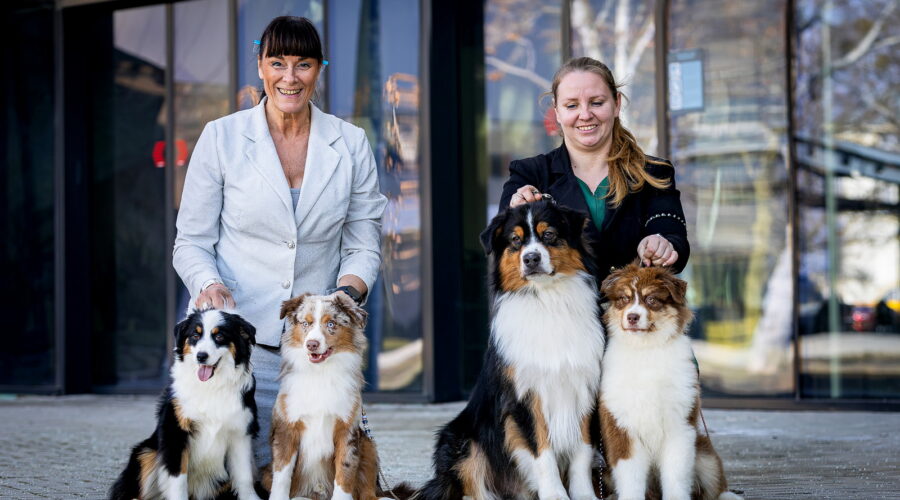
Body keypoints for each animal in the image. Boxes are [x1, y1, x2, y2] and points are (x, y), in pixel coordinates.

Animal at [109, 308, 261, 500]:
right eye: (195, 335)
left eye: (219, 337)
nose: (201, 356)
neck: (211, 386)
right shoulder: (175, 432)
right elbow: (177, 477)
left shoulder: (240, 432)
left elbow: (244, 474)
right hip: (146, 451)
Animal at [263, 292, 384, 500]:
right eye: (306, 323)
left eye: (331, 324)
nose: (312, 344)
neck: (320, 372)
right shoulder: (287, 428)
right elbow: (282, 473)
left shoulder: (346, 429)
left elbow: (345, 470)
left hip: (368, 445)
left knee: (369, 491)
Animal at [417, 200, 606, 500]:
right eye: (516, 241)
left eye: (549, 234)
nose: (531, 259)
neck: (547, 300)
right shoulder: (524, 396)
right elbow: (542, 450)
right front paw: (555, 495)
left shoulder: (584, 387)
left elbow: (583, 451)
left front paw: (584, 495)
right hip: (462, 440)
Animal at [598, 263, 741, 500]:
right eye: (624, 299)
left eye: (651, 299)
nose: (632, 317)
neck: (646, 349)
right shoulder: (621, 427)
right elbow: (631, 478)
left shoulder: (680, 423)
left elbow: (676, 475)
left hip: (705, 453)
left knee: (714, 485)